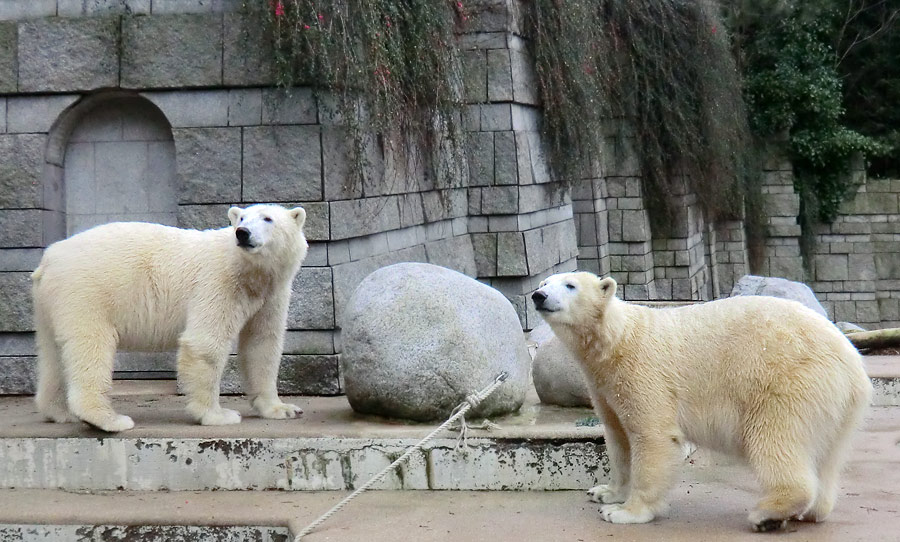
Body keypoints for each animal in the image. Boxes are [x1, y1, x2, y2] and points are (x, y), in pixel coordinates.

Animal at [31, 204, 310, 434]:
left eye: (267, 218)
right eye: (241, 218)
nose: (242, 233)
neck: (250, 272)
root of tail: (49, 259)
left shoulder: (270, 295)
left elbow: (262, 345)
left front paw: (282, 409)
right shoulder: (219, 282)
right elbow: (205, 343)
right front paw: (217, 415)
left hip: (48, 304)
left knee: (53, 353)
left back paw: (59, 412)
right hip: (86, 291)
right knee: (91, 345)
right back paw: (107, 420)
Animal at [536, 272, 872, 532]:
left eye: (570, 285)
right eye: (544, 281)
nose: (538, 295)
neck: (616, 339)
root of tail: (854, 365)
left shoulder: (642, 371)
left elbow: (652, 435)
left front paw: (625, 512)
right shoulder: (604, 384)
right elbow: (618, 438)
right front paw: (605, 492)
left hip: (787, 383)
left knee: (774, 439)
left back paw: (767, 514)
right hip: (835, 408)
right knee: (827, 458)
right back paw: (812, 510)